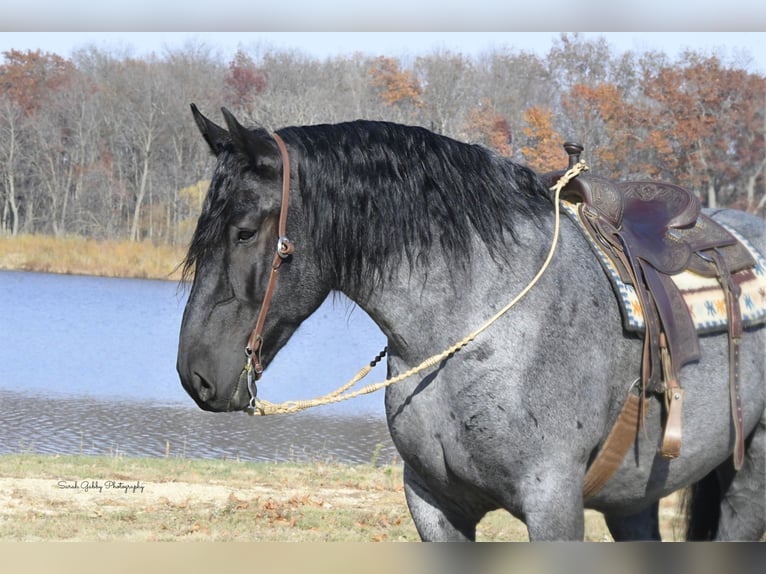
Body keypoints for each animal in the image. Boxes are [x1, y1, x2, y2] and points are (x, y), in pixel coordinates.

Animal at [178, 106, 766, 544]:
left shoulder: (553, 505)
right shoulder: (434, 505)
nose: (194, 377)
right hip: (633, 499)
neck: (478, 323)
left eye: (244, 231)